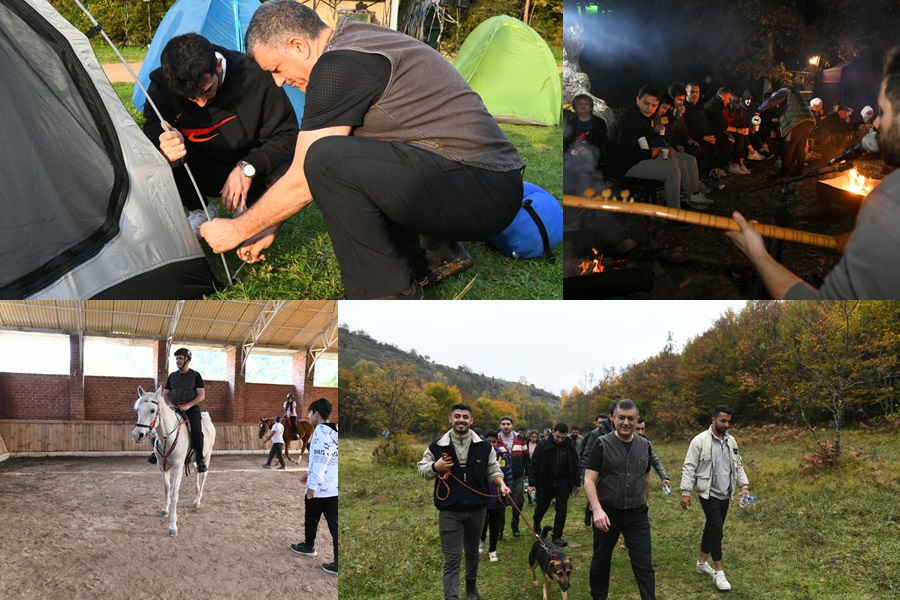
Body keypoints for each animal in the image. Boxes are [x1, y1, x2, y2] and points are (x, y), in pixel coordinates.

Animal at [132, 386, 216, 536]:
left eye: (152, 410)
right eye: (137, 410)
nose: (137, 435)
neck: (167, 437)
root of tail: (206, 416)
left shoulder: (177, 467)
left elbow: (174, 493)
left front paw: (172, 527)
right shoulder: (162, 466)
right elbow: (166, 487)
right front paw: (165, 510)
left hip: (207, 455)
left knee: (203, 476)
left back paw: (197, 500)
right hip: (195, 459)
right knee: (196, 472)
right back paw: (197, 493)